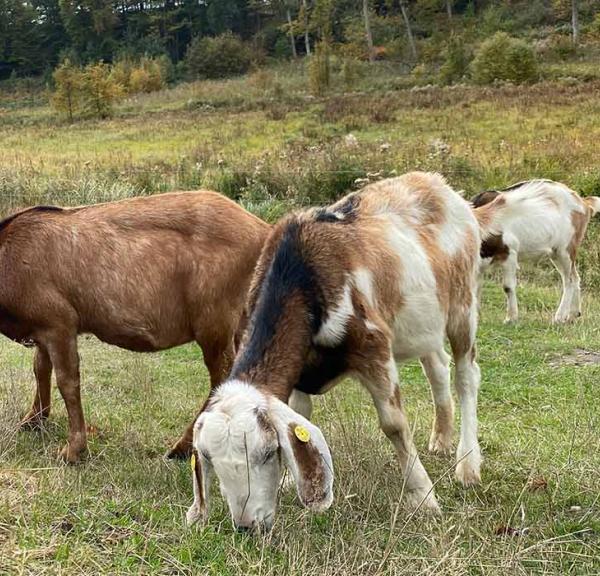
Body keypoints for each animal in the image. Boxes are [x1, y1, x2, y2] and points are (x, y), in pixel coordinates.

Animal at [0, 192, 268, 464]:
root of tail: (263, 230)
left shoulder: (60, 322)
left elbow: (67, 381)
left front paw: (73, 449)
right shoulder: (41, 328)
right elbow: (40, 369)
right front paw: (33, 420)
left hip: (214, 322)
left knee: (223, 376)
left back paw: (182, 447)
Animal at [188, 171, 482, 532]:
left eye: (268, 452)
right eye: (209, 458)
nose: (247, 525)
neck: (302, 278)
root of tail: (437, 183)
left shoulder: (373, 345)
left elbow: (393, 425)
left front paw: (424, 498)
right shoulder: (300, 371)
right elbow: (302, 413)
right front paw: (290, 480)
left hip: (463, 303)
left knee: (466, 376)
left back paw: (467, 464)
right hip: (423, 320)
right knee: (437, 366)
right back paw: (440, 439)